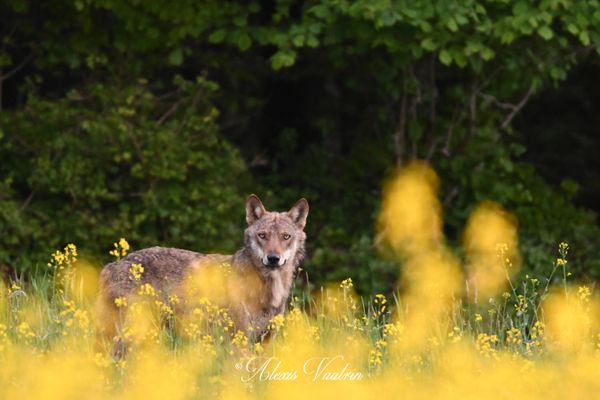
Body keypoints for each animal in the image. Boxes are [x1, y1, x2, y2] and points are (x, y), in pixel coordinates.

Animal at [97, 194, 310, 344]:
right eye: (262, 235)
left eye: (285, 237)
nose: (273, 258)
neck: (269, 290)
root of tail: (112, 265)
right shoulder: (238, 341)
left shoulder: (263, 343)